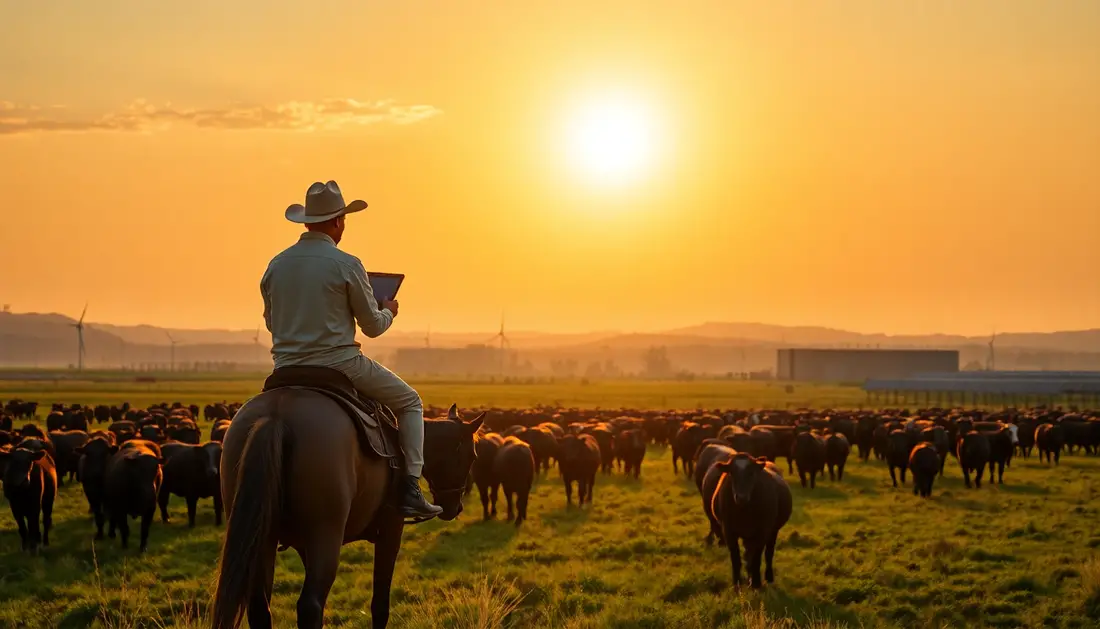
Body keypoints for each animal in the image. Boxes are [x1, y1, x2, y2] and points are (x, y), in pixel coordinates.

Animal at [212, 393, 484, 629]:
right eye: (472, 456)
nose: (455, 507)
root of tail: (276, 415)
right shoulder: (391, 530)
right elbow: (380, 605)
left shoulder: (303, 547)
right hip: (325, 536)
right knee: (309, 606)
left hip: (262, 540)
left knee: (260, 607)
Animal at [704, 453, 792, 589]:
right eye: (732, 472)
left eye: (751, 473)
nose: (741, 497)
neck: (744, 511)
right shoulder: (728, 531)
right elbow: (736, 557)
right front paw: (737, 583)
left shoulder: (763, 531)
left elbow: (757, 556)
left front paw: (756, 583)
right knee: (749, 553)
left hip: (773, 530)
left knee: (768, 552)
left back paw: (767, 577)